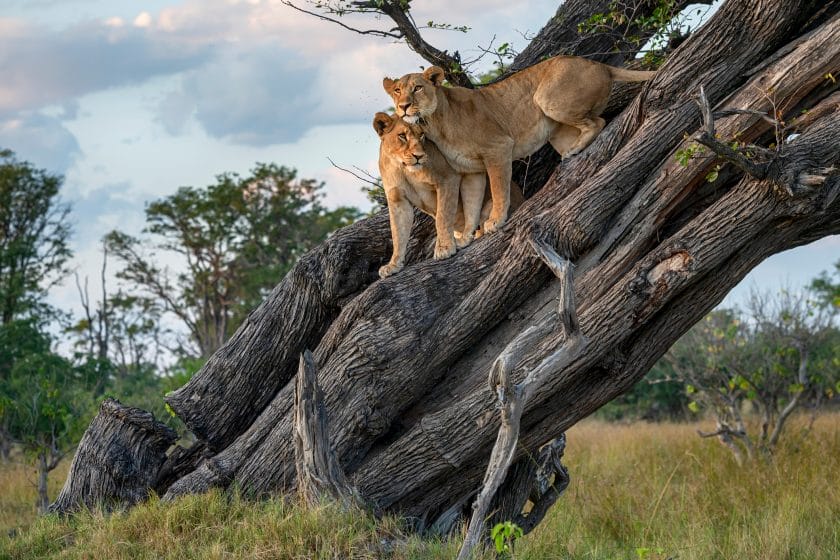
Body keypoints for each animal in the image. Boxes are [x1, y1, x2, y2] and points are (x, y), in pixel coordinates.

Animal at [372, 112, 520, 278]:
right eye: (402, 136)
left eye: (421, 135)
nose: (419, 156)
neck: (403, 168)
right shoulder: (397, 200)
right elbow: (398, 233)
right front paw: (393, 265)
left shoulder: (448, 179)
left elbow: (443, 217)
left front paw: (444, 248)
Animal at [386, 54, 656, 234]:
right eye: (397, 91)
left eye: (417, 88)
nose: (403, 106)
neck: (433, 123)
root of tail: (600, 64)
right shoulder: (470, 170)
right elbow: (471, 203)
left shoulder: (498, 147)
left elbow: (499, 189)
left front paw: (495, 221)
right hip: (555, 130)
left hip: (547, 98)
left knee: (598, 121)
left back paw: (575, 149)